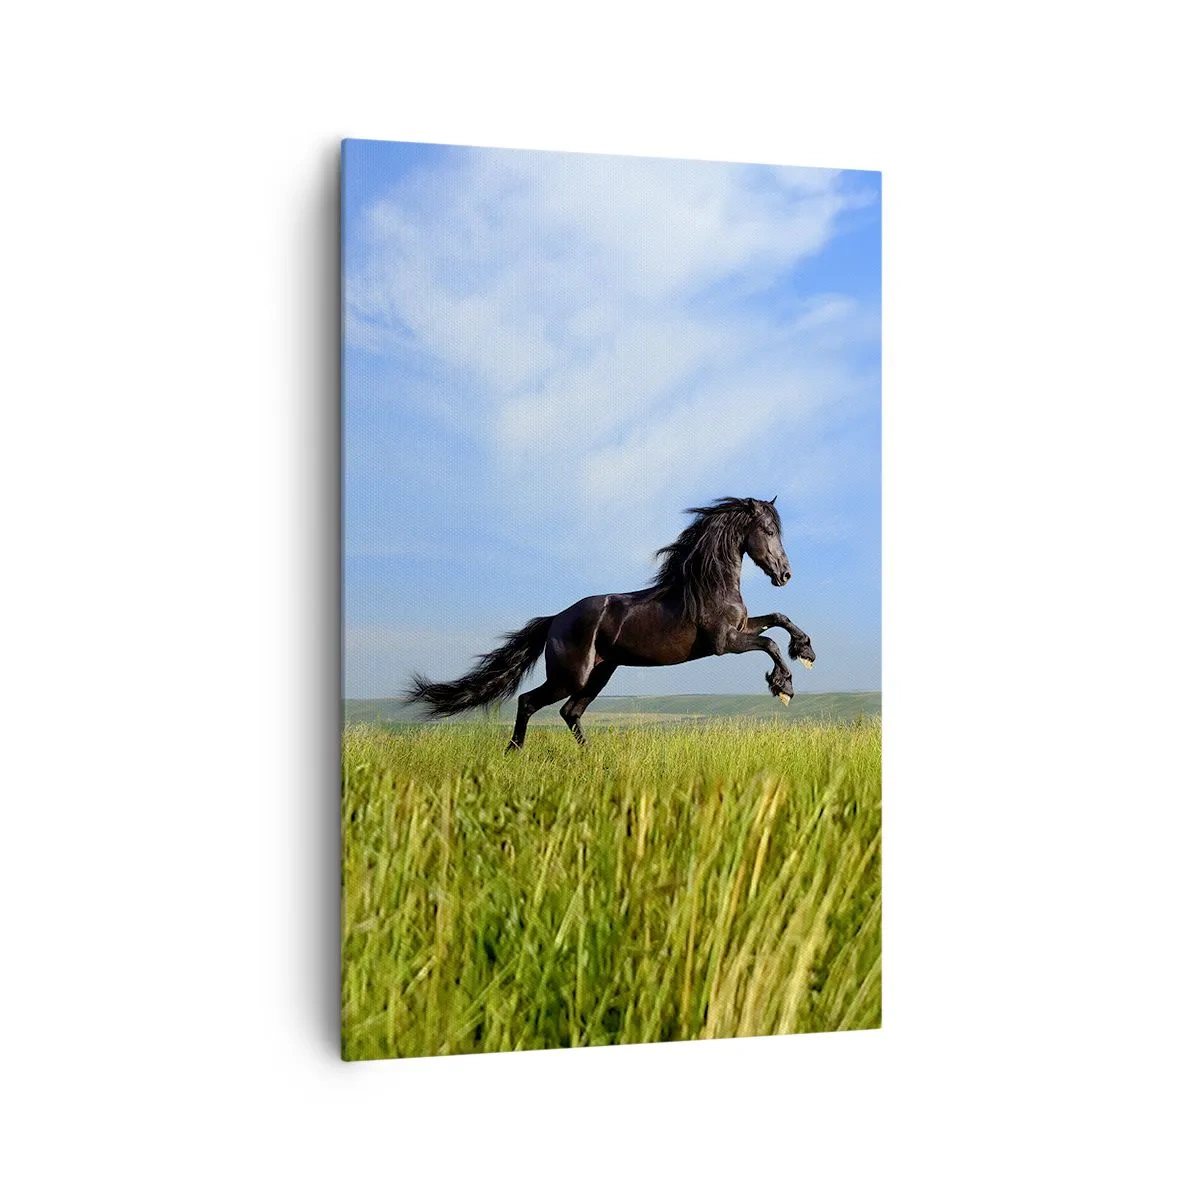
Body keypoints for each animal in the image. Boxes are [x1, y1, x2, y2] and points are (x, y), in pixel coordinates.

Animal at [405, 496, 816, 750]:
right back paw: (513, 751)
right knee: (528, 701)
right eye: (768, 531)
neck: (709, 586)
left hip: (600, 673)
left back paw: (589, 756)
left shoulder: (741, 628)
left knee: (569, 712)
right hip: (570, 676)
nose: (785, 575)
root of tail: (555, 620)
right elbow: (769, 643)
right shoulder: (723, 642)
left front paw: (806, 651)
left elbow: (778, 619)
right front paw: (784, 686)